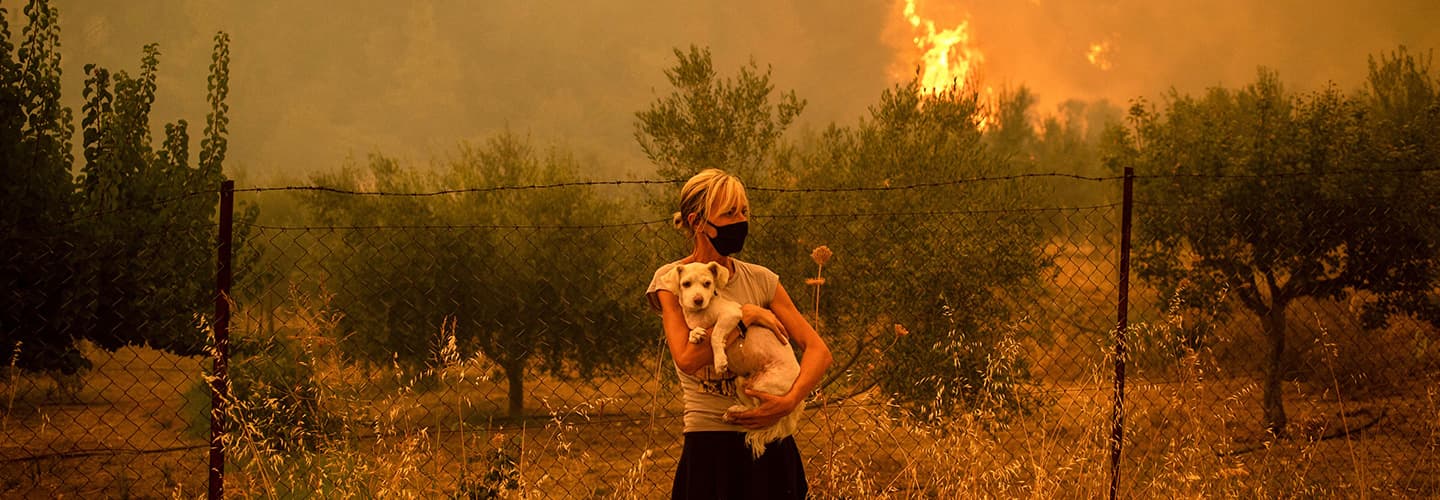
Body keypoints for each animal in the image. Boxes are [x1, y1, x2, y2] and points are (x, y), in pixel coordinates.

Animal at [668, 262, 806, 458]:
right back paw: (735, 412)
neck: (701, 313)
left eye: (707, 283)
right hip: (742, 382)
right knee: (751, 407)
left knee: (758, 410)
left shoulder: (731, 315)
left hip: (763, 386)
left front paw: (719, 361)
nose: (698, 299)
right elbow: (694, 331)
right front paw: (695, 334)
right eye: (686, 284)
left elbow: (715, 335)